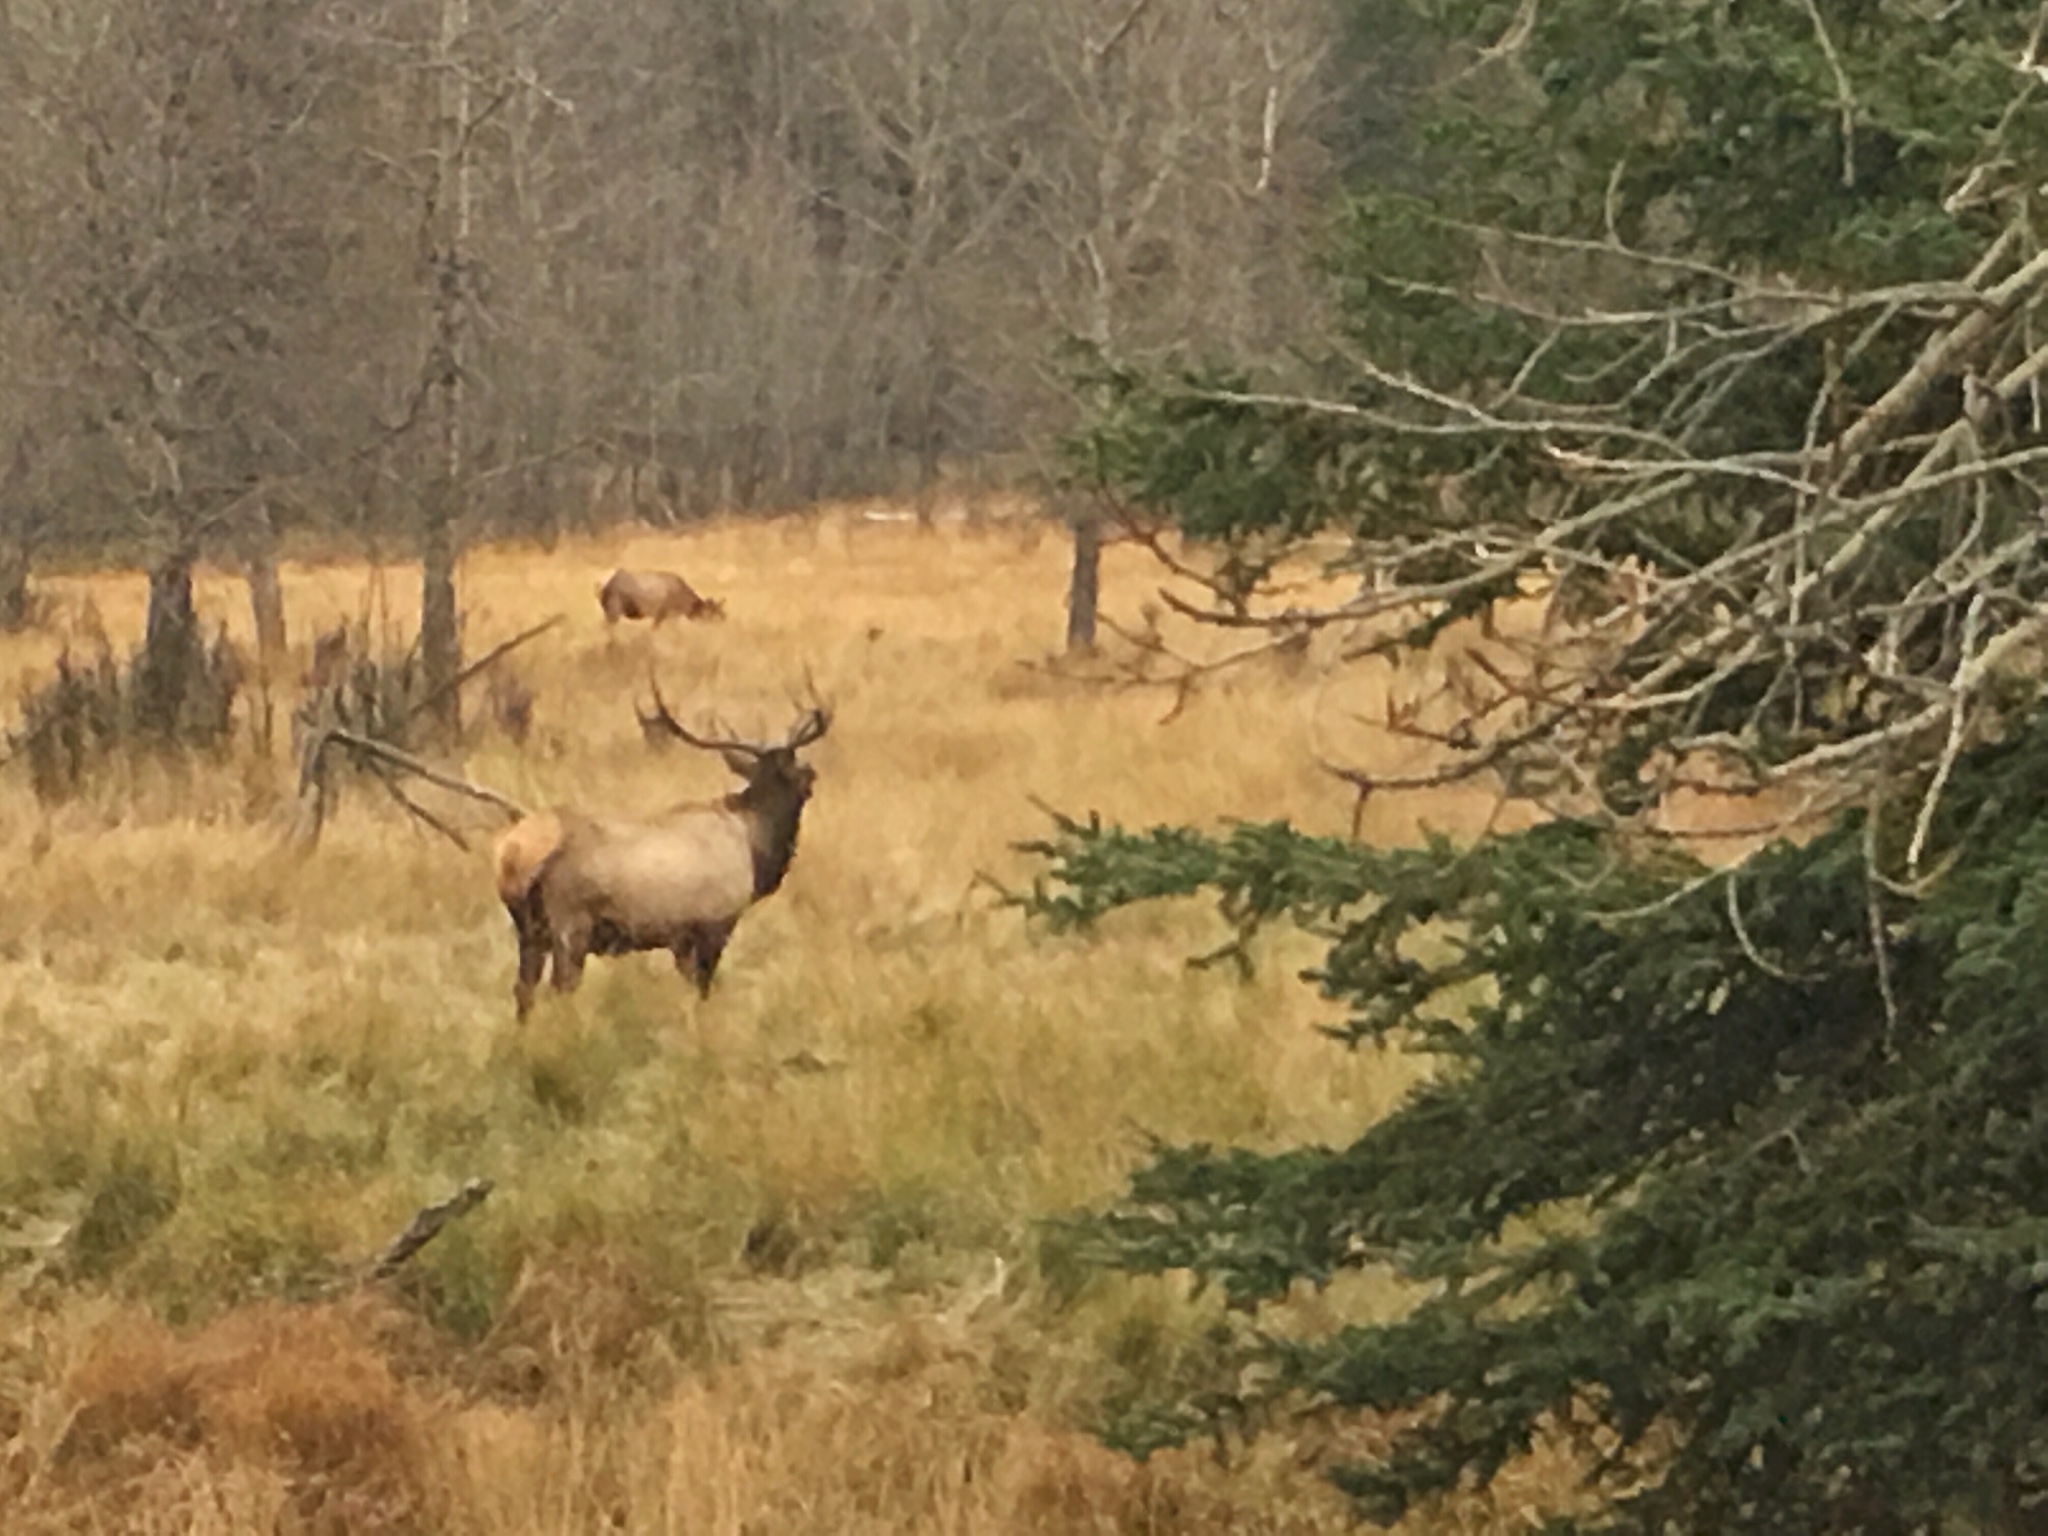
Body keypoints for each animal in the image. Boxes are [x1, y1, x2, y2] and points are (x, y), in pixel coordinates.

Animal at [491, 688, 827, 1024]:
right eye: (799, 770)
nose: (813, 774)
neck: (755, 846)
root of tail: (516, 856)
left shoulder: (682, 939)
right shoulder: (716, 922)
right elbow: (703, 990)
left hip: (530, 931)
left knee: (523, 990)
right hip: (571, 924)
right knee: (559, 988)